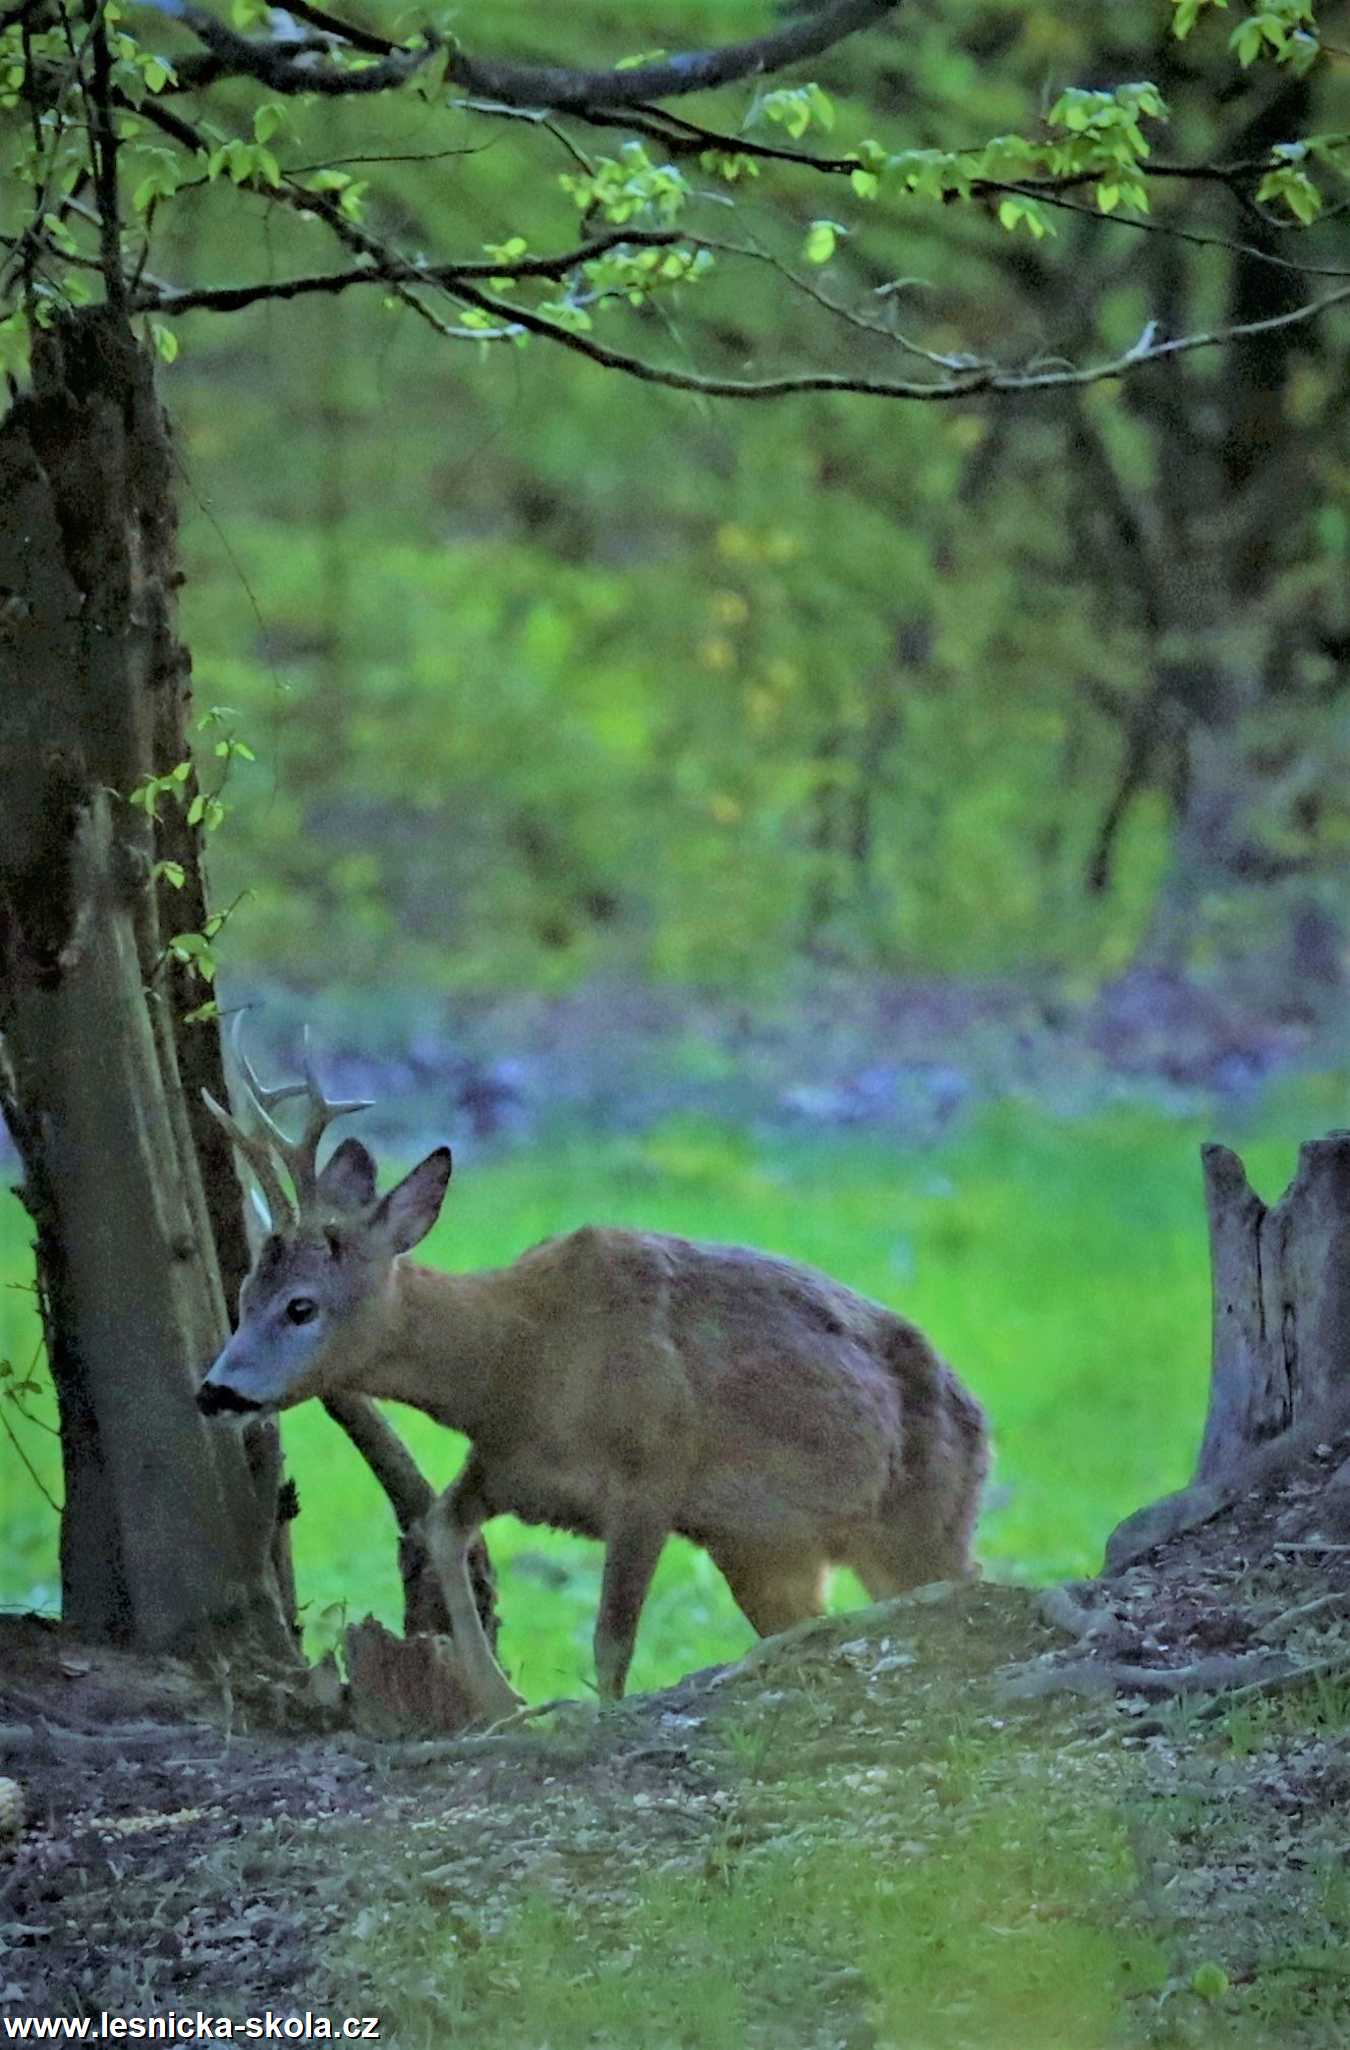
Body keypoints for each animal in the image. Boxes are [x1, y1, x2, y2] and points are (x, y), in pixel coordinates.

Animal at [195, 1033, 987, 1722]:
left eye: (301, 1306)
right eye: (245, 1295)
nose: (212, 1392)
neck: (518, 1364)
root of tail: (977, 1415)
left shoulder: (654, 1472)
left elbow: (612, 1640)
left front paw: (592, 1711)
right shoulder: (504, 1465)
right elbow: (440, 1528)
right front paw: (500, 1700)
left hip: (924, 1515)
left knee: (961, 1582)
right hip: (766, 1548)